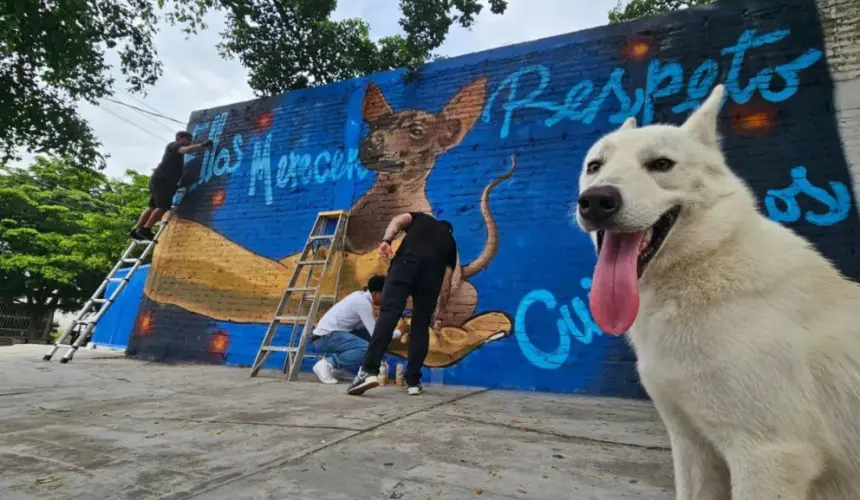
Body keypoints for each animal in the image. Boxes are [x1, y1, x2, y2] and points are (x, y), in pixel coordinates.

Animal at [576, 84, 860, 498]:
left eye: (661, 164)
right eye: (595, 166)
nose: (597, 200)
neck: (704, 267)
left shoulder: (767, 456)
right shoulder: (693, 445)